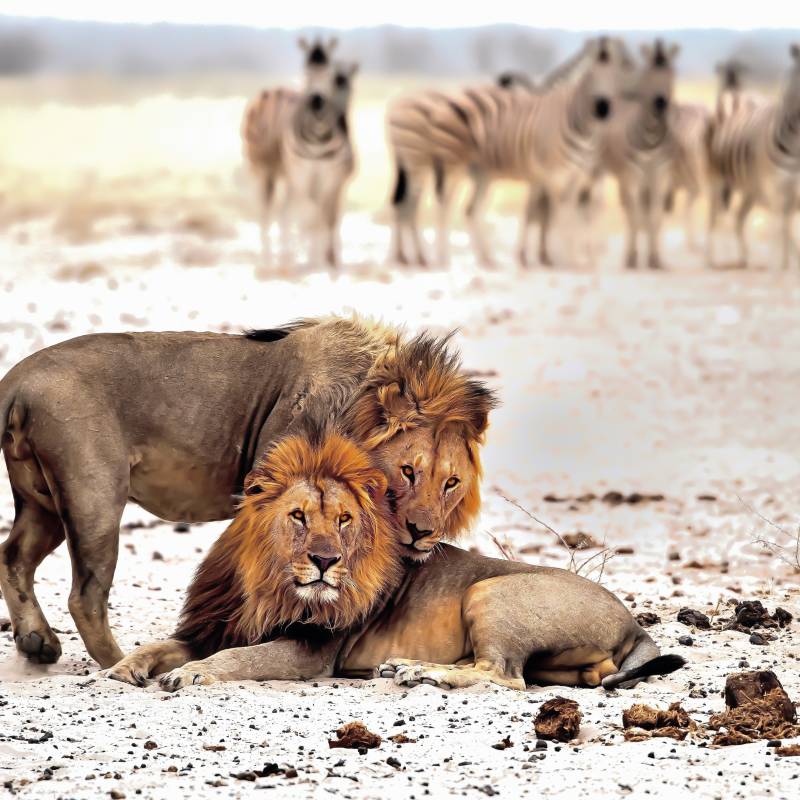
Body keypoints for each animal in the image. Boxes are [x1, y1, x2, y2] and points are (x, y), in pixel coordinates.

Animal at [0, 316, 494, 664]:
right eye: (408, 472)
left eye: (451, 482)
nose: (422, 533)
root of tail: (16, 378)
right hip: (95, 496)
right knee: (85, 596)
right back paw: (115, 663)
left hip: (43, 503)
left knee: (13, 556)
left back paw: (36, 642)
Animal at [104, 422, 680, 692]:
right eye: (298, 516)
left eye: (344, 520)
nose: (325, 562)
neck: (264, 582)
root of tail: (633, 623)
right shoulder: (212, 626)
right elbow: (159, 645)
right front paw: (125, 668)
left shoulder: (311, 651)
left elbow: (238, 660)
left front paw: (191, 675)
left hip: (489, 590)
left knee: (505, 675)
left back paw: (419, 672)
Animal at [242, 38, 358, 268]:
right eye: (306, 71)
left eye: (329, 74)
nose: (317, 102)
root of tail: (272, 92)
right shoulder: (316, 179)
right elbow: (318, 218)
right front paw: (319, 257)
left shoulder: (327, 179)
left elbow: (324, 217)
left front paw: (324, 257)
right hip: (266, 171)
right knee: (267, 213)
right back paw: (271, 259)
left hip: (283, 176)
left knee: (283, 213)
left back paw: (285, 257)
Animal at [384, 37, 636, 268]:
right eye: (594, 70)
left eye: (626, 66)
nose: (603, 109)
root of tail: (397, 104)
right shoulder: (552, 175)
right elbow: (551, 213)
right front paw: (556, 258)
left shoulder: (569, 176)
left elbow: (556, 212)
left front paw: (557, 257)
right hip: (435, 163)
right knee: (429, 205)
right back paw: (434, 258)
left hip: (466, 173)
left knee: (447, 208)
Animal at [708, 43, 800, 268]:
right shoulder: (775, 188)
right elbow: (781, 227)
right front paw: (781, 265)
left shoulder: (792, 189)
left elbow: (786, 227)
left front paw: (788, 262)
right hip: (717, 179)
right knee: (715, 216)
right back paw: (714, 259)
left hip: (750, 188)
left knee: (738, 218)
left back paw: (743, 258)